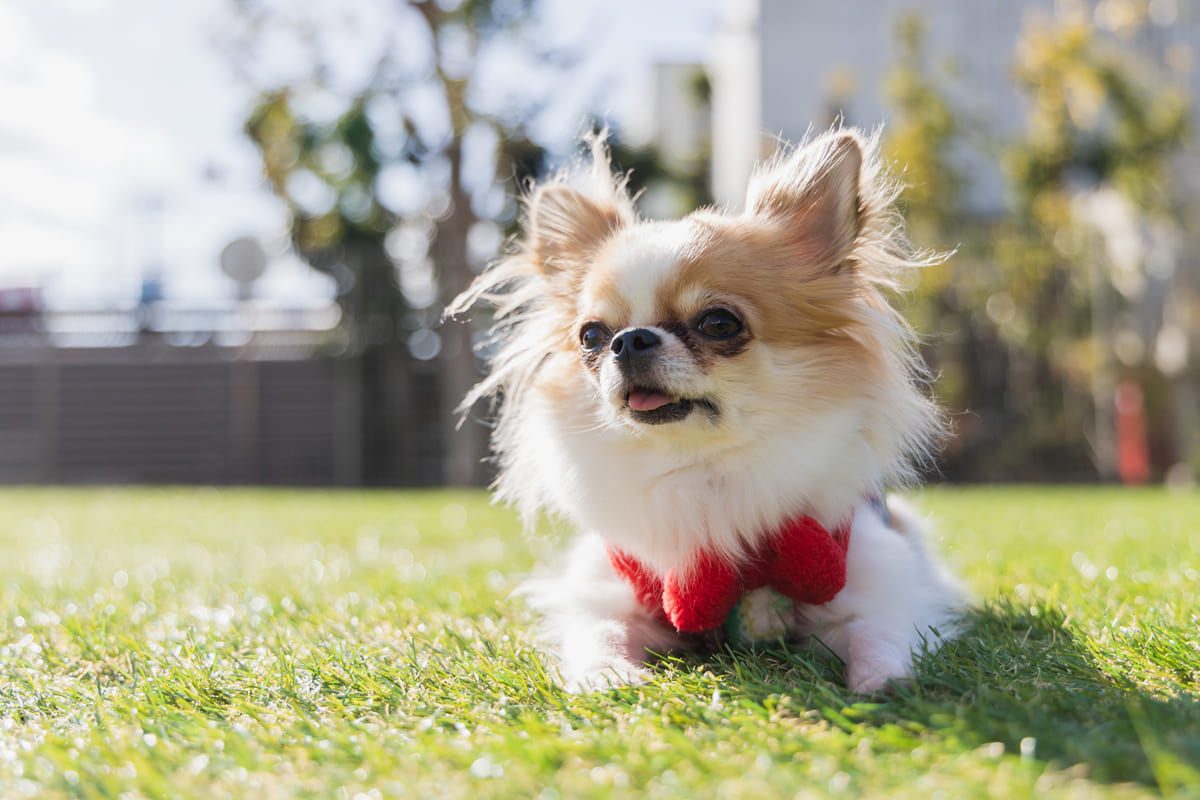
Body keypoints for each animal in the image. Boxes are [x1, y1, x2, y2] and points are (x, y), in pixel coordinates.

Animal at [451, 128, 964, 690]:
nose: (629, 340)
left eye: (719, 323)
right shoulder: (614, 587)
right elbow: (600, 630)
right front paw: (606, 676)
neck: (700, 468)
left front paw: (882, 680)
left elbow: (880, 629)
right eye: (591, 335)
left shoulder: (861, 574)